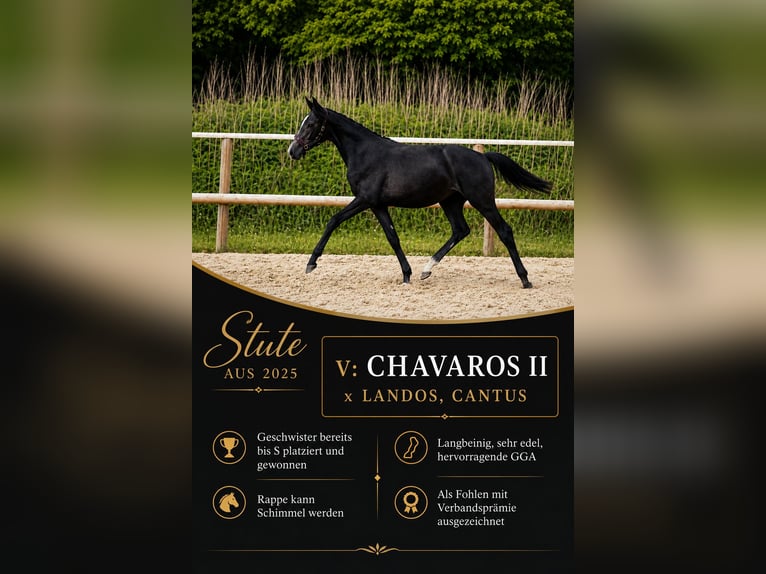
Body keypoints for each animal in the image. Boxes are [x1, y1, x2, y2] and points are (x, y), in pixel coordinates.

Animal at [288, 97, 552, 288]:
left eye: (310, 124)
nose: (293, 151)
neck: (365, 153)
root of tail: (483, 156)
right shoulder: (378, 204)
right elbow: (392, 237)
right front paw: (407, 275)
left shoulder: (364, 199)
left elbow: (333, 220)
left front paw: (311, 263)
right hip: (451, 202)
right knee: (460, 230)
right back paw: (426, 270)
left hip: (482, 200)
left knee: (504, 231)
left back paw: (525, 279)